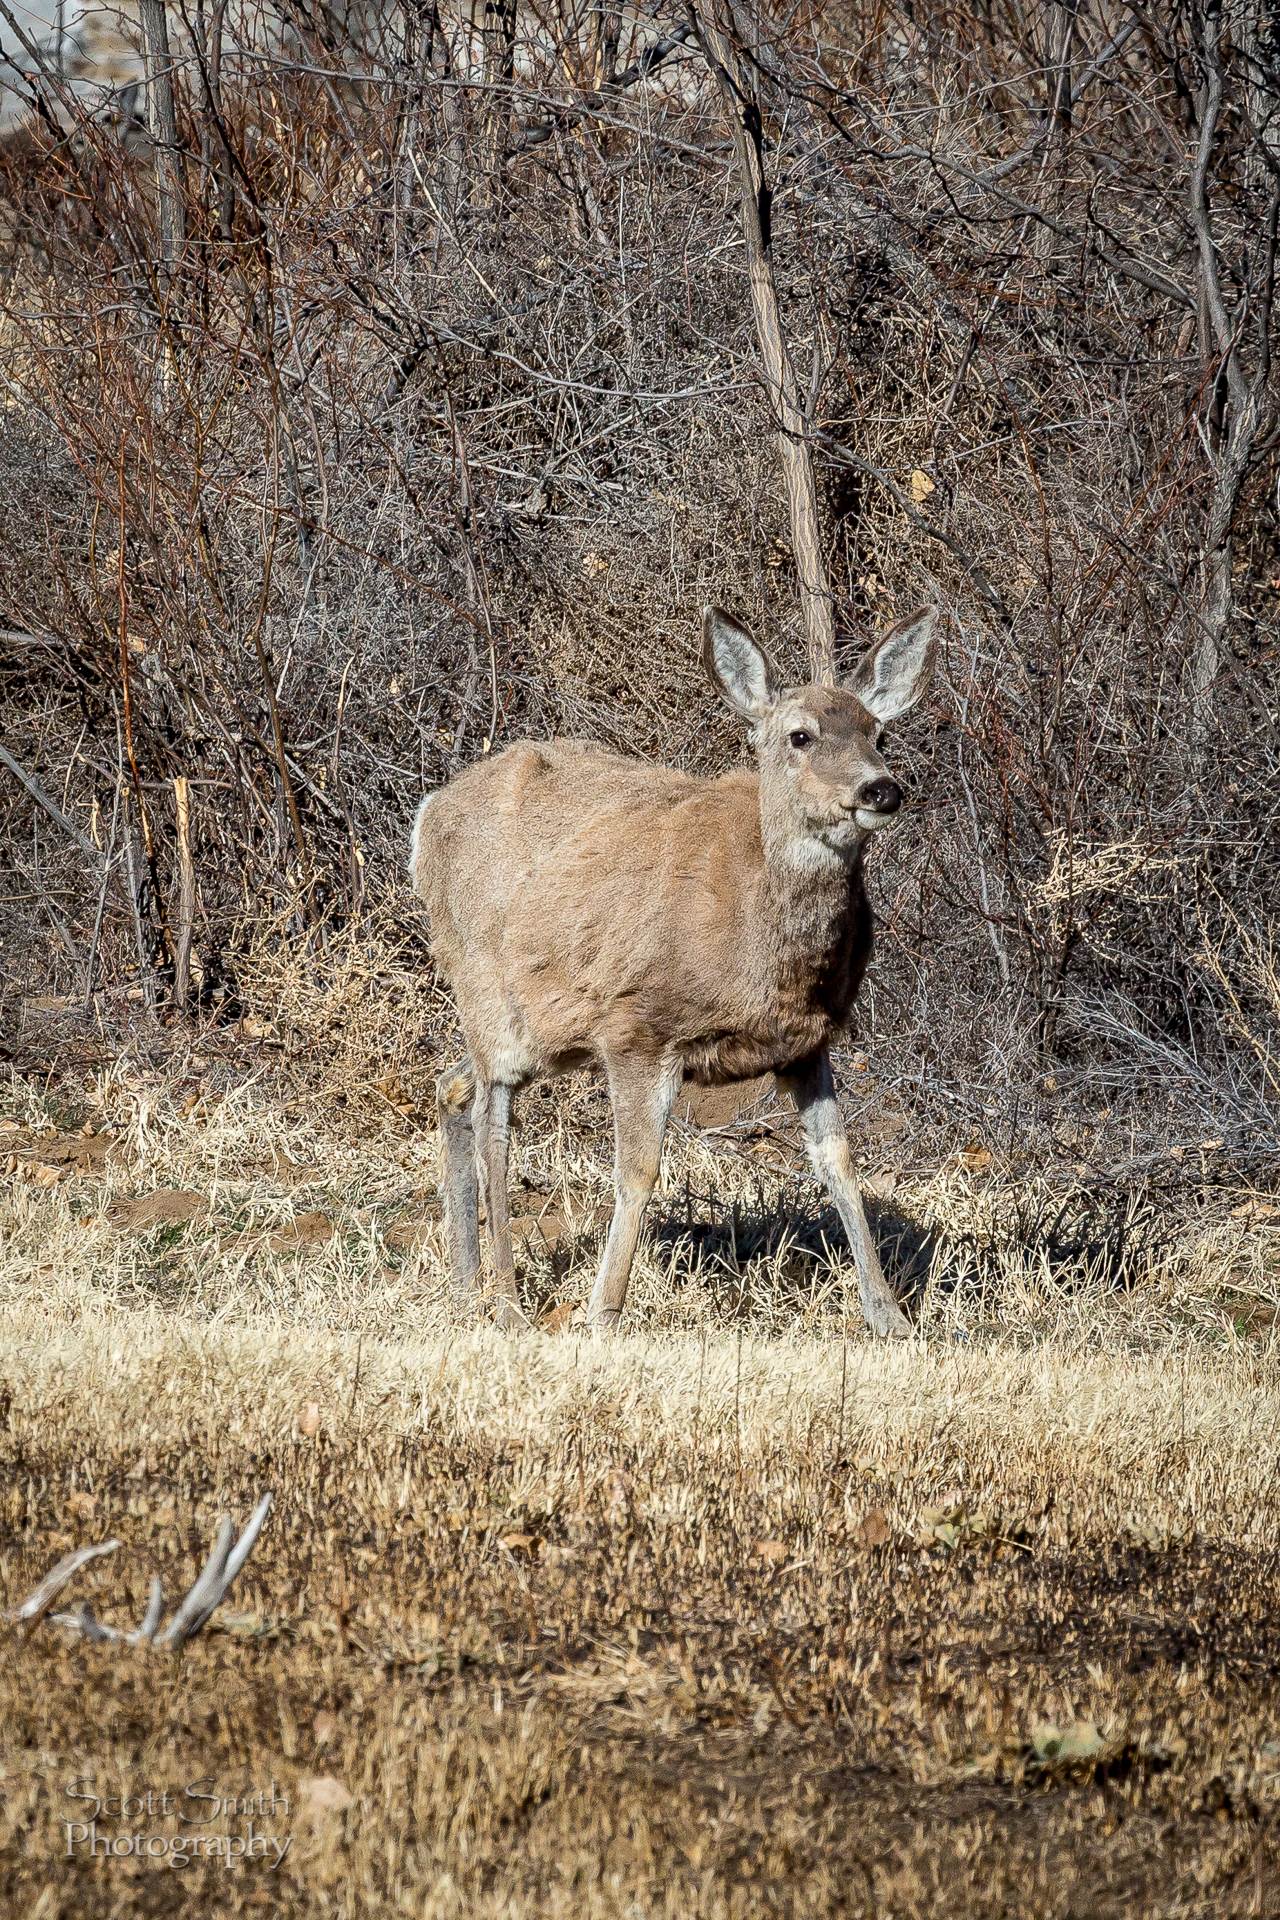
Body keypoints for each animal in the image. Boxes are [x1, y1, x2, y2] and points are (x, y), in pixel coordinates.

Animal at [412, 599, 940, 1336]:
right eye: (800, 736)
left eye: (877, 732)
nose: (881, 789)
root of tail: (426, 816)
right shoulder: (636, 1027)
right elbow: (637, 1171)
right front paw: (603, 1313)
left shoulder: (808, 1043)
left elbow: (838, 1160)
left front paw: (889, 1317)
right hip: (484, 985)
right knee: (495, 1125)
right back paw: (509, 1303)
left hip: (543, 1028)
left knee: (452, 1084)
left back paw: (468, 1287)